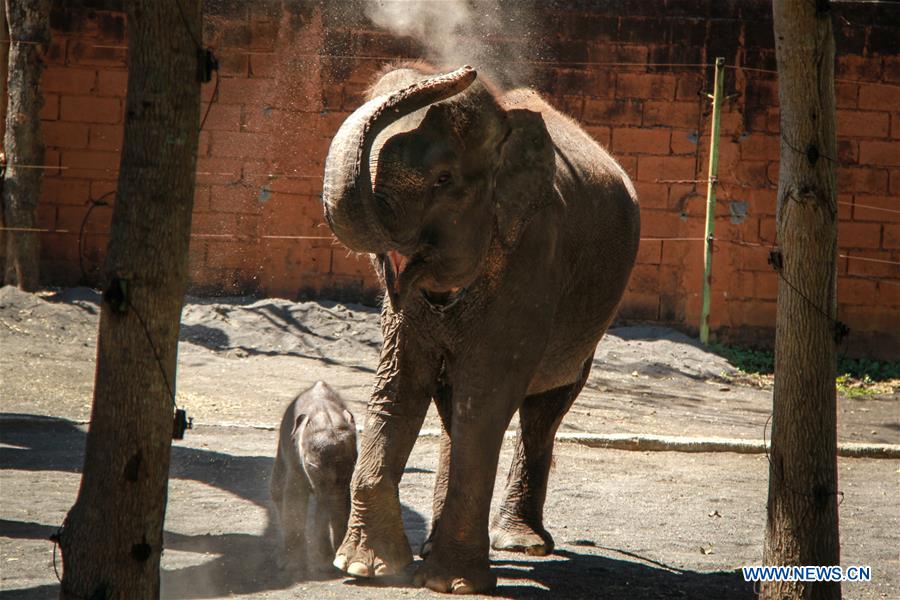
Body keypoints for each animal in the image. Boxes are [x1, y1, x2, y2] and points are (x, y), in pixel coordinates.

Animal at [270, 381, 358, 576]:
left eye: (354, 463)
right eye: (313, 467)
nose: (338, 563)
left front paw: (325, 565)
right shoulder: (295, 455)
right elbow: (295, 496)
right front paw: (293, 567)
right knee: (277, 491)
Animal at [320, 63, 640, 594]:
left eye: (443, 178)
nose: (466, 70)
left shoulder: (534, 258)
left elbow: (486, 396)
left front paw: (452, 585)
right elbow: (399, 384)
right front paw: (366, 569)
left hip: (590, 324)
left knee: (543, 409)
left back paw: (520, 545)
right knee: (455, 407)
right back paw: (437, 547)